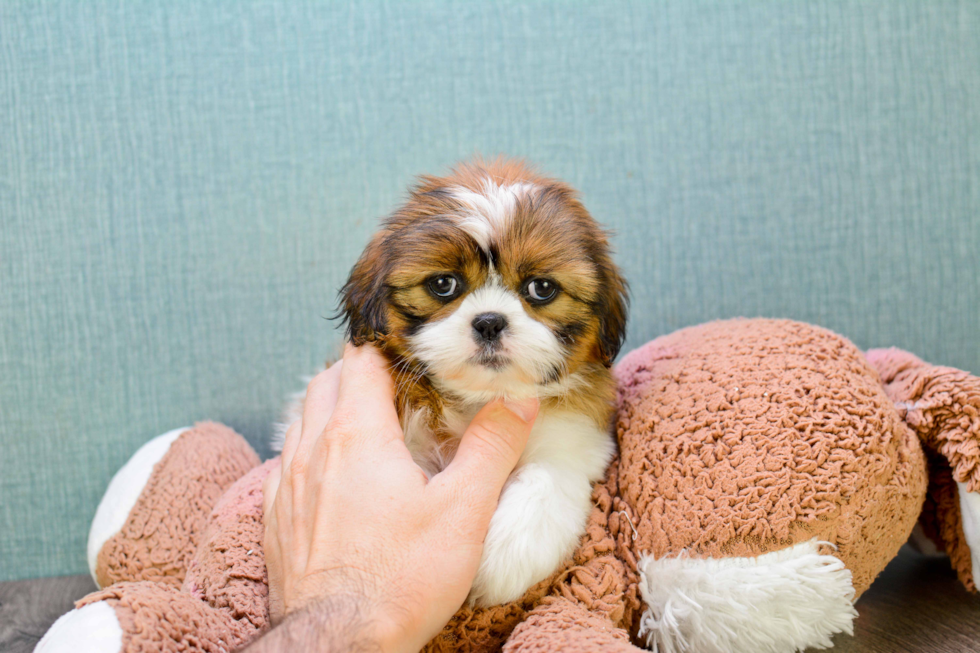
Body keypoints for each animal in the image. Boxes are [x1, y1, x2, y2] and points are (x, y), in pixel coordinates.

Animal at [280, 158, 628, 608]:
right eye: (443, 284)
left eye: (541, 288)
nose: (490, 321)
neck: (477, 399)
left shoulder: (571, 438)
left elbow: (546, 477)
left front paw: (504, 560)